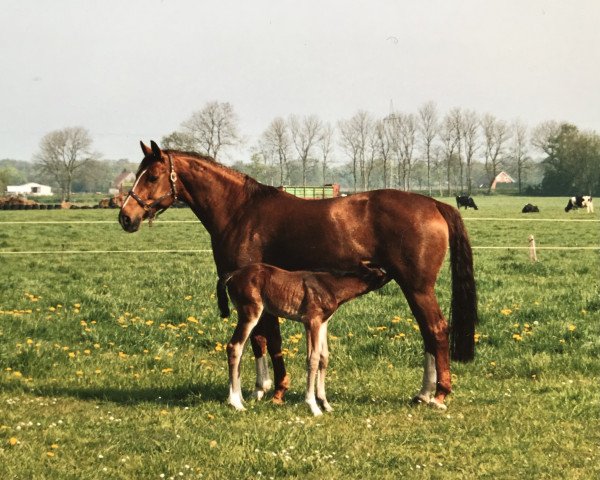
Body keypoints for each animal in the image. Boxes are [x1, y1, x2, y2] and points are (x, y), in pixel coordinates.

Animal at [223, 260, 386, 414]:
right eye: (380, 273)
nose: (388, 271)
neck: (331, 286)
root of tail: (232, 275)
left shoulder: (323, 322)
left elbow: (323, 357)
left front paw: (325, 404)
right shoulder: (311, 321)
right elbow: (313, 358)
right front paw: (313, 406)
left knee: (241, 348)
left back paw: (240, 399)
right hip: (249, 313)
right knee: (234, 346)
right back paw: (236, 403)